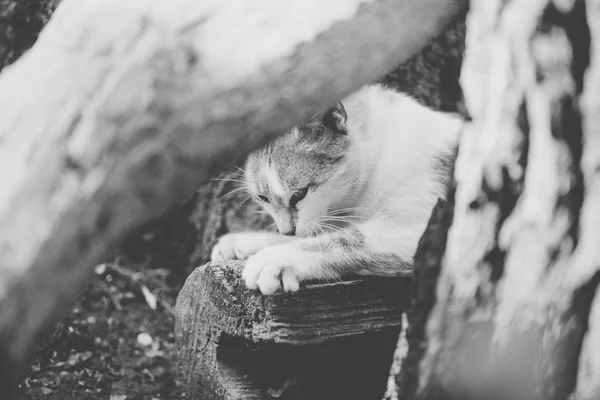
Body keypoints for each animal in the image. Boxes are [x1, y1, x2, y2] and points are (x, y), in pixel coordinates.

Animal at [209, 84, 462, 296]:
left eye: (300, 194)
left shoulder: (425, 226)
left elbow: (344, 240)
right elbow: (317, 233)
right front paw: (247, 241)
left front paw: (275, 258)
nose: (287, 231)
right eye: (263, 198)